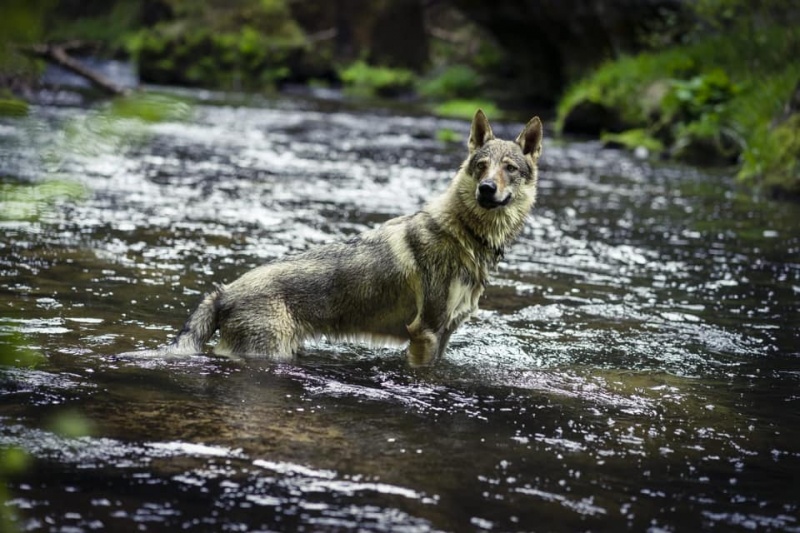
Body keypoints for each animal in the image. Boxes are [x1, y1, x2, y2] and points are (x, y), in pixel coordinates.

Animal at [169, 109, 544, 364]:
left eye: (509, 168)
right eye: (481, 165)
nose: (486, 188)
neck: (465, 235)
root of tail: (223, 293)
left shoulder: (444, 334)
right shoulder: (425, 333)